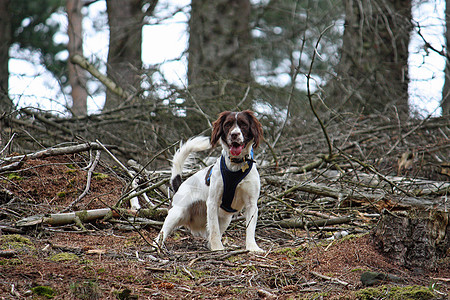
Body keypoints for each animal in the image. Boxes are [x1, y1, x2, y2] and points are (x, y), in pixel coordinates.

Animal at [156, 109, 266, 252]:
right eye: (228, 124)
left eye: (244, 124)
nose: (234, 134)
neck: (235, 166)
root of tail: (180, 184)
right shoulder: (213, 202)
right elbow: (214, 229)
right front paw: (217, 248)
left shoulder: (251, 204)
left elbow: (250, 228)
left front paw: (252, 247)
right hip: (176, 213)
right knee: (161, 234)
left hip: (225, 219)